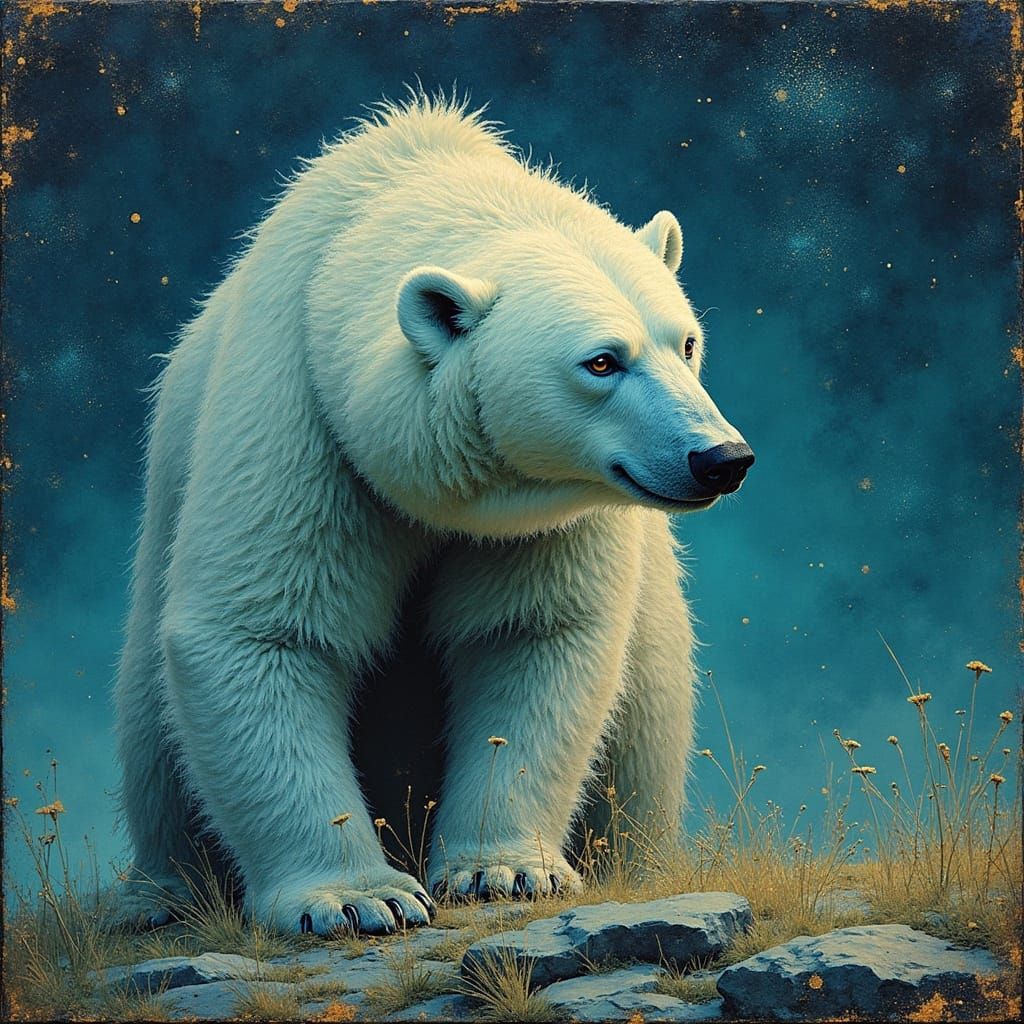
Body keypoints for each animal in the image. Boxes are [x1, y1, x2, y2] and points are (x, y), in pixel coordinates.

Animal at [113, 92, 754, 937]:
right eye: (602, 360)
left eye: (686, 341)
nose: (720, 457)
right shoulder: (300, 412)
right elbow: (264, 632)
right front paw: (359, 898)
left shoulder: (542, 516)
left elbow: (529, 634)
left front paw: (505, 871)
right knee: (155, 737)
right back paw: (158, 896)